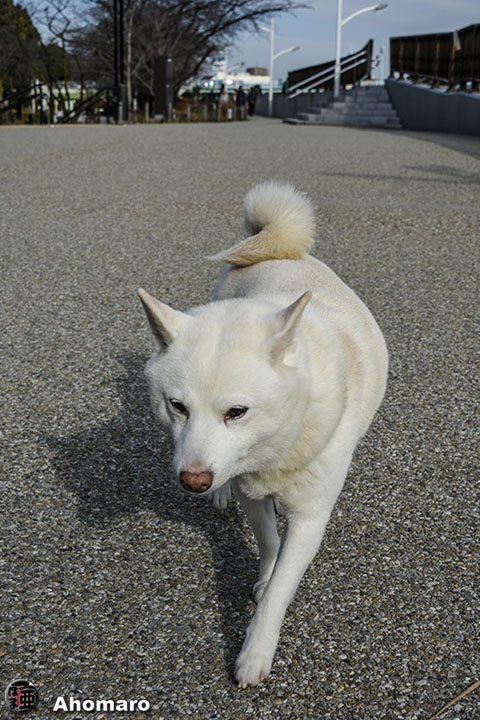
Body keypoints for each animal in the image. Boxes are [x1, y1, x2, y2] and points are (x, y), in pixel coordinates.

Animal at [138, 181, 388, 687]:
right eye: (177, 406)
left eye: (237, 412)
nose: (192, 482)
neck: (280, 443)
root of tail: (279, 249)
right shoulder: (252, 492)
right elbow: (269, 541)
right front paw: (264, 575)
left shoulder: (311, 518)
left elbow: (279, 589)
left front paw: (255, 651)